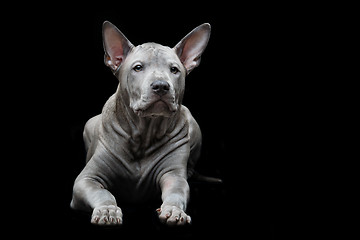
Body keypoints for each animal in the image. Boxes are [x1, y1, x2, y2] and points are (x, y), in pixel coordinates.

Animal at [71, 20, 215, 225]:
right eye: (138, 68)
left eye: (174, 70)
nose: (161, 86)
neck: (144, 133)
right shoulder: (87, 179)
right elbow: (102, 192)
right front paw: (107, 209)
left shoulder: (173, 177)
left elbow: (177, 192)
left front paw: (174, 210)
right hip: (88, 124)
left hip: (194, 125)